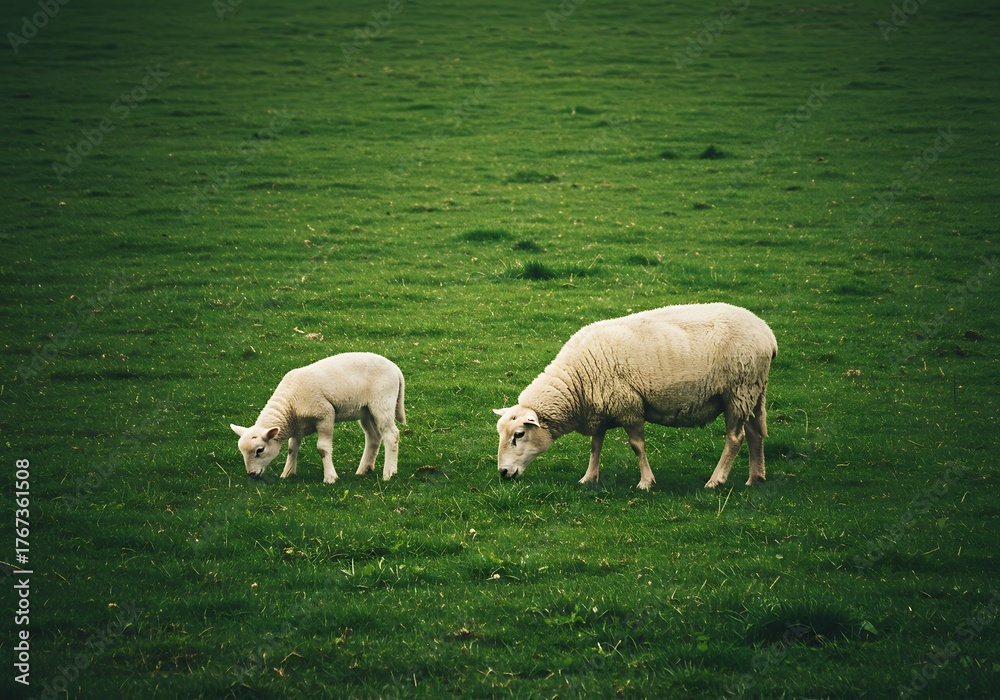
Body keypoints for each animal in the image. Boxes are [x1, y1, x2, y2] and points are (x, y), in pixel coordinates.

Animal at [230, 352, 406, 483]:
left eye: (260, 450)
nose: (251, 474)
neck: (290, 401)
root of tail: (395, 368)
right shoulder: (296, 425)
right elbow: (292, 448)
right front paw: (287, 473)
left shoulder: (325, 415)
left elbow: (322, 448)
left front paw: (330, 477)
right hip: (366, 410)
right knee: (374, 436)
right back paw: (363, 470)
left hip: (382, 402)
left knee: (391, 434)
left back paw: (389, 473)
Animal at [494, 303, 777, 490]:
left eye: (519, 434)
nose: (503, 472)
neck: (576, 381)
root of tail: (767, 333)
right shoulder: (600, 408)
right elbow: (595, 446)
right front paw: (589, 478)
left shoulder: (629, 406)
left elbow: (636, 446)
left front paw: (645, 482)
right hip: (751, 391)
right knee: (754, 433)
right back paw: (755, 478)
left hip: (739, 389)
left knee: (735, 438)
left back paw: (716, 480)